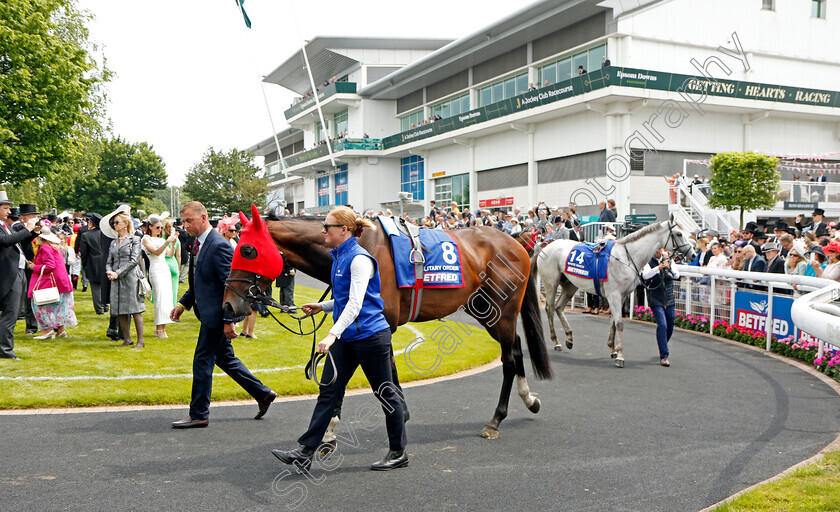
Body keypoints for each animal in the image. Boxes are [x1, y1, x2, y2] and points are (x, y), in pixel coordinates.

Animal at [223, 210, 552, 438]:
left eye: (247, 250)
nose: (228, 304)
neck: (361, 245)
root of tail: (516, 242)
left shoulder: (379, 323)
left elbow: (381, 373)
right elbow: (362, 371)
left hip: (502, 310)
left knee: (509, 359)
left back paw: (495, 419)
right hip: (485, 310)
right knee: (516, 347)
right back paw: (530, 399)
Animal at [540, 220, 696, 368]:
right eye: (679, 234)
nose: (693, 254)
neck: (626, 258)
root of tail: (546, 246)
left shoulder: (622, 296)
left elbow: (614, 322)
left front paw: (613, 349)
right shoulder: (614, 295)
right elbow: (619, 323)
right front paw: (620, 356)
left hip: (570, 285)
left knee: (559, 307)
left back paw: (569, 338)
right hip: (551, 283)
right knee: (549, 309)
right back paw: (556, 341)